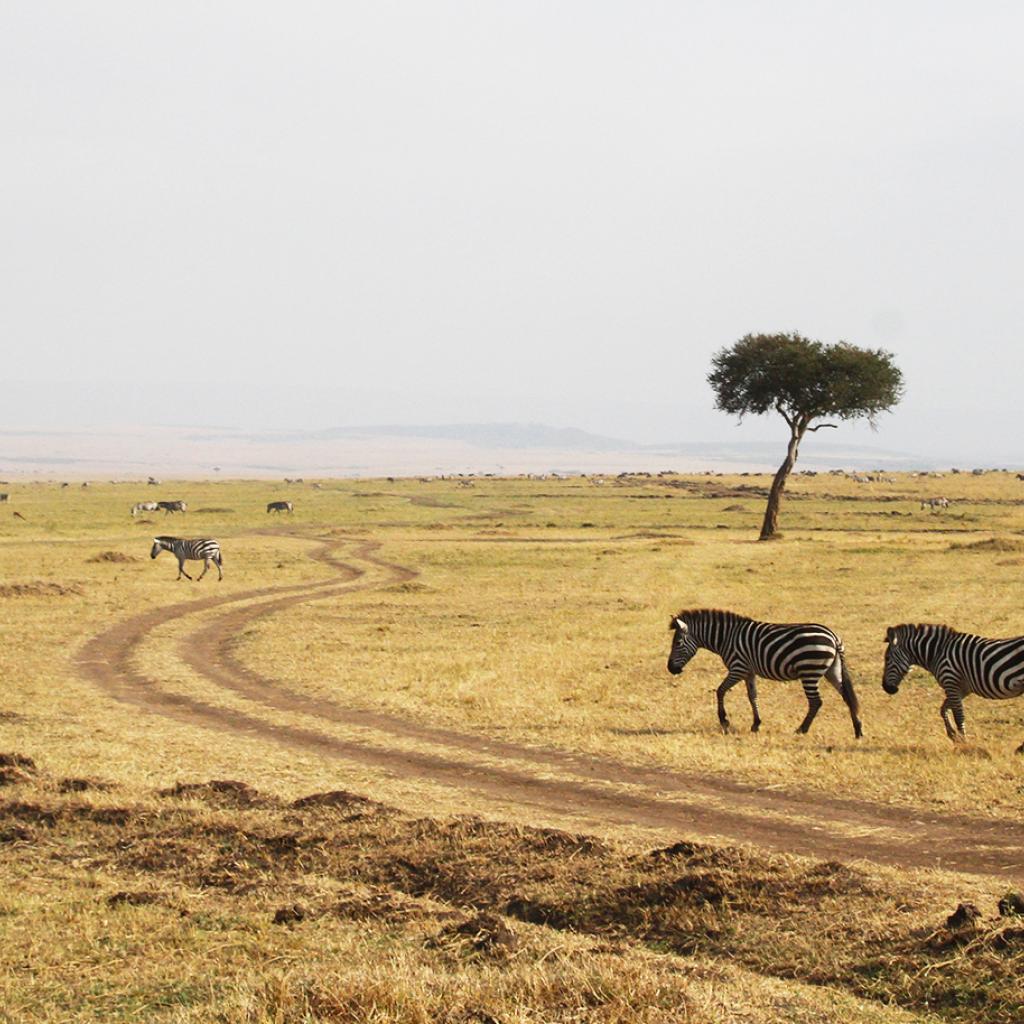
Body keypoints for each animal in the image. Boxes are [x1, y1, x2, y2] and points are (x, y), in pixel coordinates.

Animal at [663, 606, 864, 737]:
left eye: (677, 643)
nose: (671, 669)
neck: (726, 638)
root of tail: (833, 637)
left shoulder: (738, 668)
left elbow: (720, 691)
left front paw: (724, 720)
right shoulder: (748, 672)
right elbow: (752, 696)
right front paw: (756, 724)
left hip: (809, 671)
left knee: (816, 702)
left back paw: (802, 729)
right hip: (832, 670)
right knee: (847, 696)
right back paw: (858, 730)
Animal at [880, 622, 1024, 753]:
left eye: (887, 658)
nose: (886, 688)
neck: (937, 652)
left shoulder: (951, 682)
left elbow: (958, 715)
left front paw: (964, 744)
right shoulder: (962, 689)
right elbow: (943, 709)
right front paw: (954, 736)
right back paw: (1020, 748)